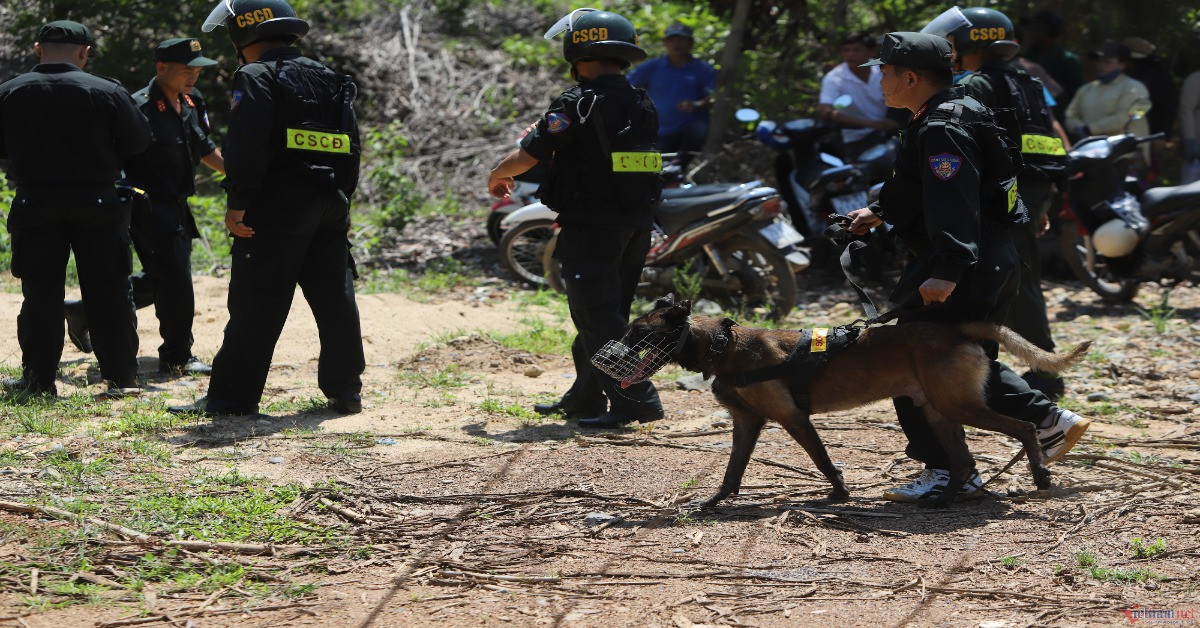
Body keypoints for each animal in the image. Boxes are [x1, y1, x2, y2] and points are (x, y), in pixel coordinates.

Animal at [614, 296, 1094, 511]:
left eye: (639, 332)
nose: (611, 351)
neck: (723, 345)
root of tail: (955, 327)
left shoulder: (793, 418)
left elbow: (824, 461)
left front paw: (839, 493)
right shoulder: (747, 425)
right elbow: (733, 471)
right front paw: (716, 501)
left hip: (957, 406)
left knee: (1024, 428)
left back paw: (1040, 475)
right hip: (939, 411)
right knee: (960, 461)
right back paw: (943, 498)